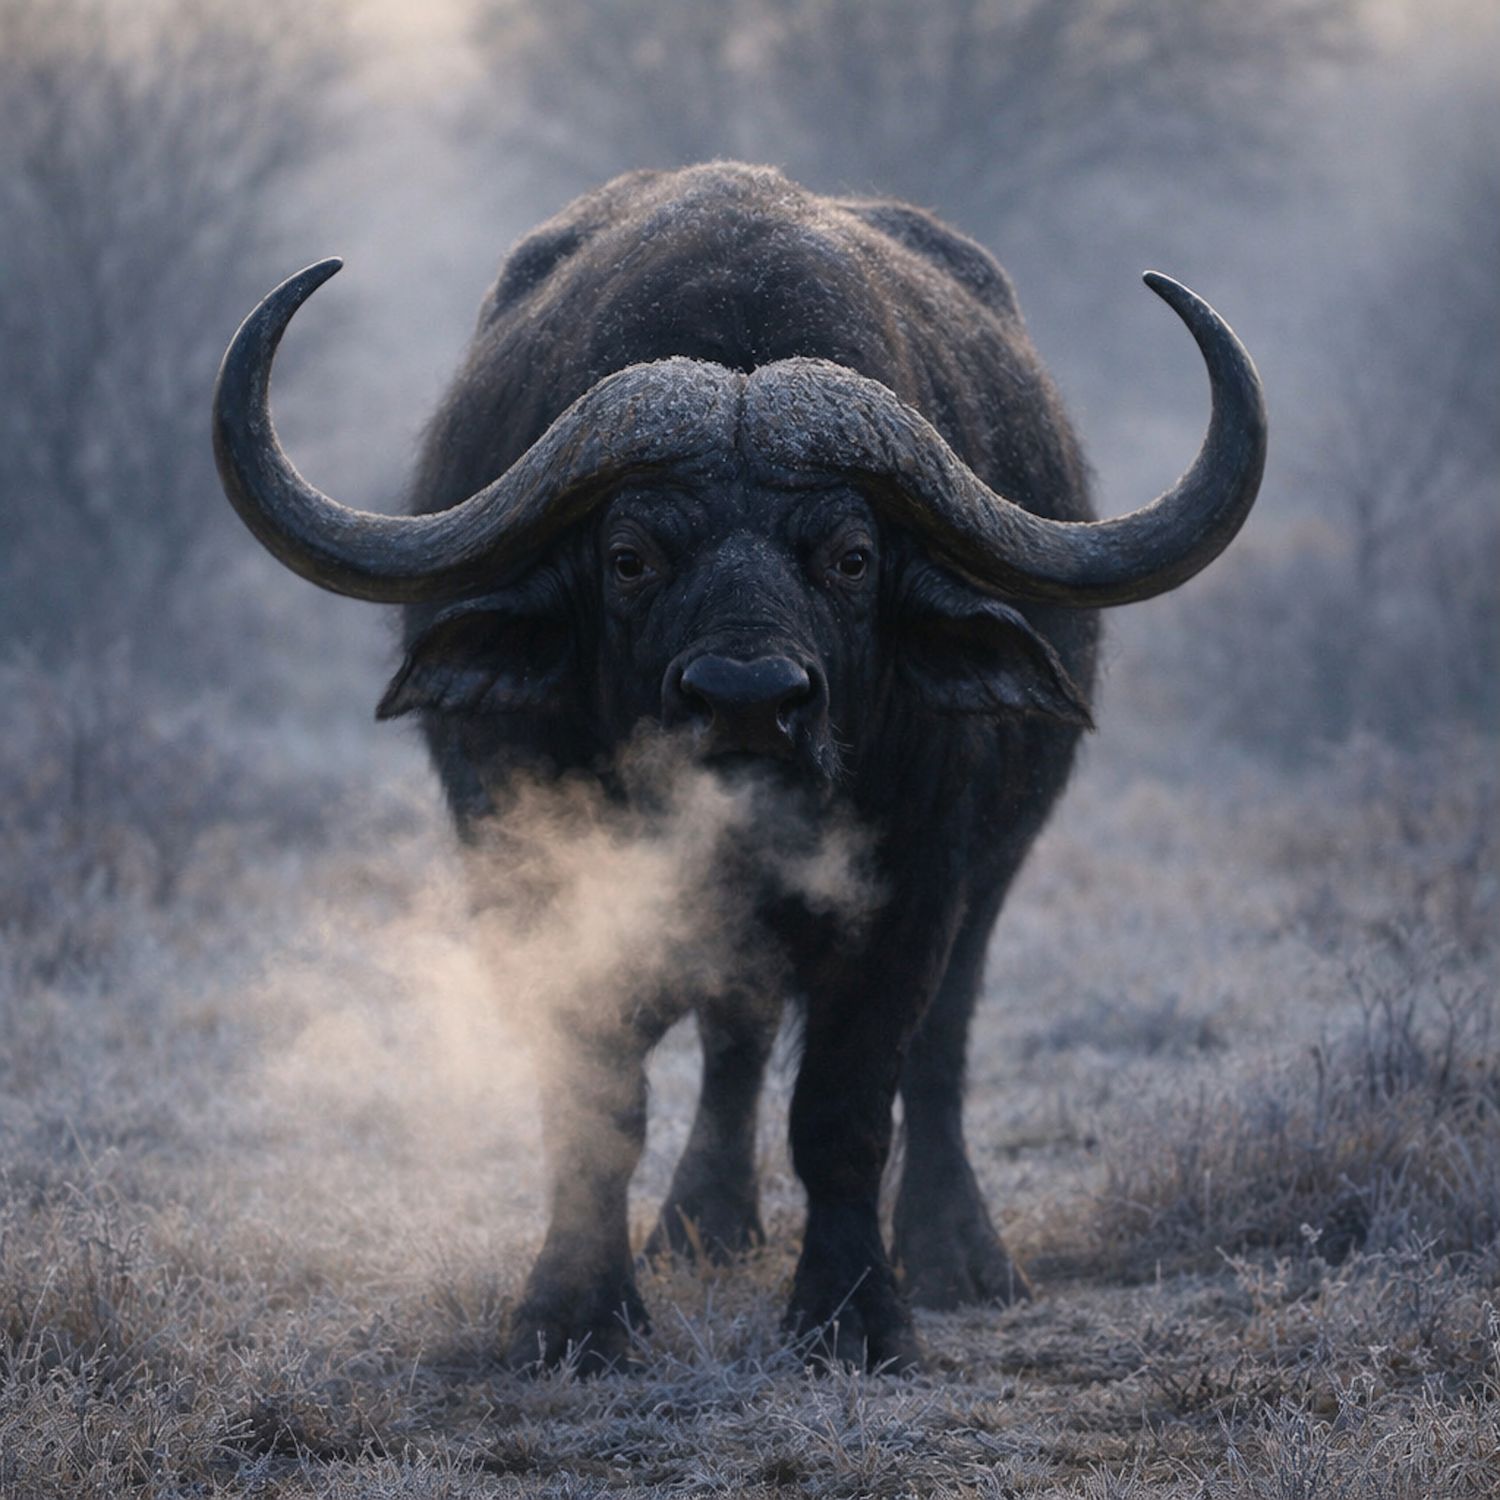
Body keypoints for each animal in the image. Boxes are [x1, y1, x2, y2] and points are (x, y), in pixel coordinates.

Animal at [213, 163, 1265, 1372]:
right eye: (630, 557)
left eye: (851, 558)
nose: (748, 702)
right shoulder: (534, 874)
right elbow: (598, 1095)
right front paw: (576, 1311)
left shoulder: (914, 885)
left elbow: (848, 1106)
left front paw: (854, 1314)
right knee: (738, 1034)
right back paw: (704, 1226)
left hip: (991, 874)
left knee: (937, 1048)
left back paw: (957, 1254)